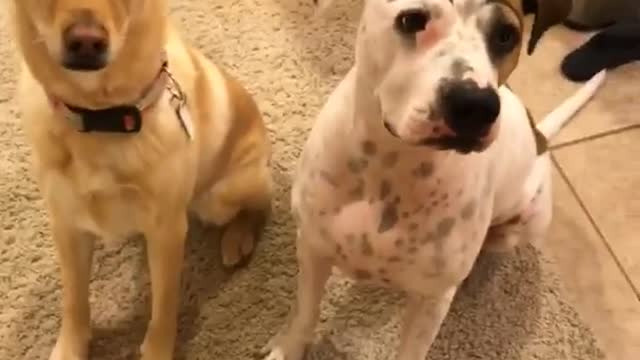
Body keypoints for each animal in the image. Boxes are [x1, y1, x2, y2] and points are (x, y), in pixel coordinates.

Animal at [10, 1, 272, 358]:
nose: (87, 41)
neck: (102, 118)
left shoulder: (167, 231)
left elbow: (164, 306)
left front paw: (157, 349)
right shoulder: (67, 225)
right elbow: (74, 300)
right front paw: (71, 347)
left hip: (220, 197)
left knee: (262, 204)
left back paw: (238, 237)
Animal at [264, 0, 604, 360]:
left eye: (505, 35)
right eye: (412, 19)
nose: (476, 104)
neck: (391, 164)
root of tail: (540, 137)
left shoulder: (431, 301)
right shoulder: (312, 248)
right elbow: (305, 313)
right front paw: (288, 348)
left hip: (523, 226)